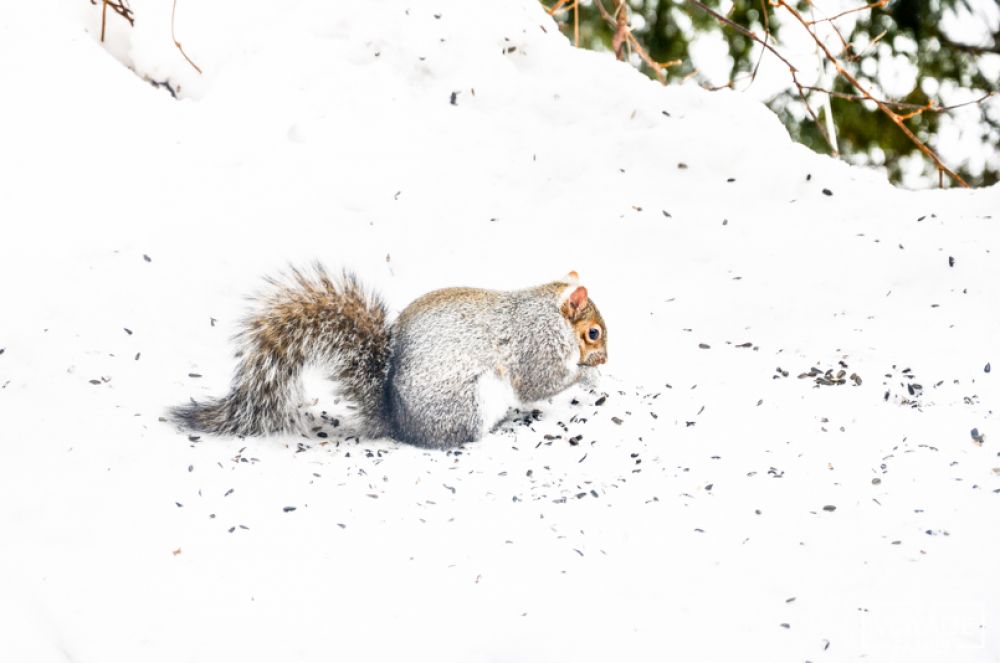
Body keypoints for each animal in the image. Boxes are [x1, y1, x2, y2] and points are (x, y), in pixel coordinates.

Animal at [170, 268, 608, 448]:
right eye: (594, 333)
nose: (604, 360)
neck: (550, 311)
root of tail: (399, 423)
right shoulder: (535, 343)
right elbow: (540, 382)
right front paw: (585, 376)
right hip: (471, 401)